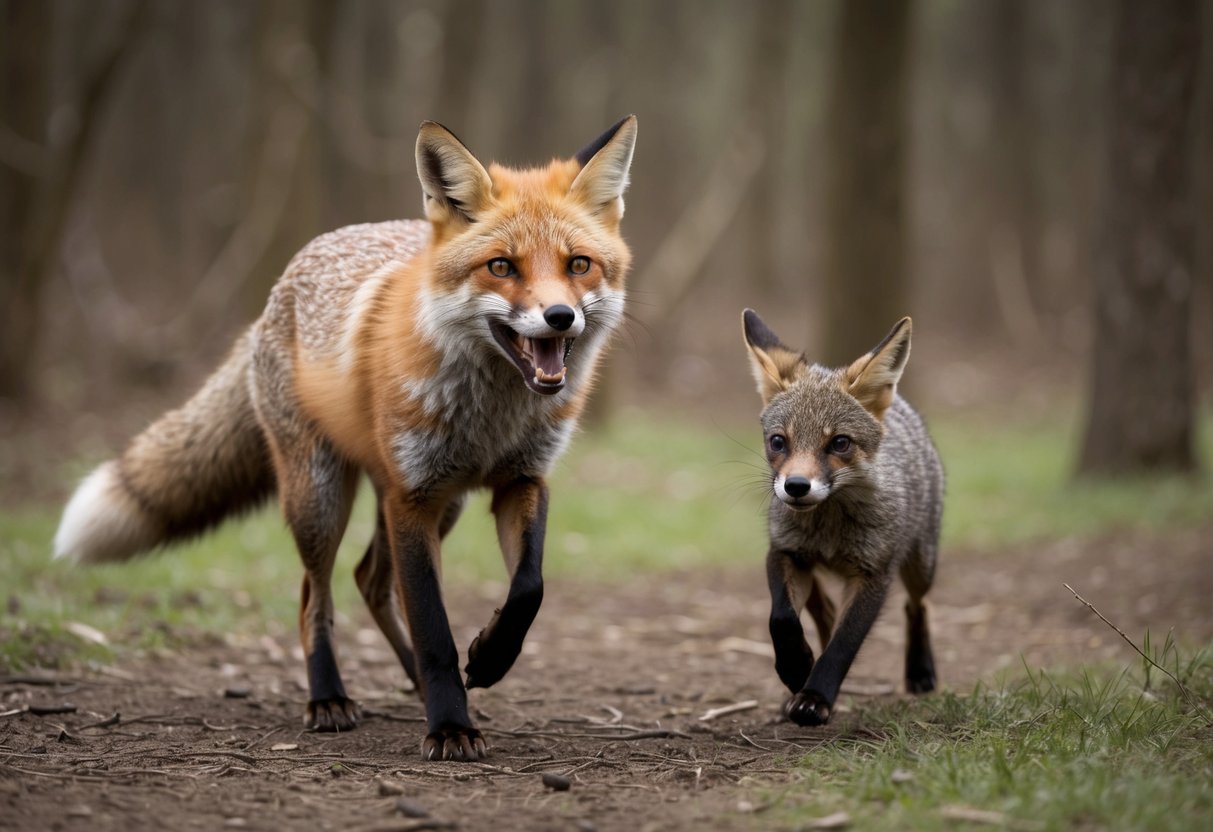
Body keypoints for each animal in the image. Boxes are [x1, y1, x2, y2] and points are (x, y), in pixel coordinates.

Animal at [53, 116, 638, 761]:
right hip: (322, 497)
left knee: (370, 580)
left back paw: (418, 684)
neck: (492, 417)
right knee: (317, 596)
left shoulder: (519, 479)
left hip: (441, 504)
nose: (560, 317)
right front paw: (449, 727)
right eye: (502, 267)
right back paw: (329, 697)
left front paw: (487, 659)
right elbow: (434, 628)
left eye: (578, 265)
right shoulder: (412, 497)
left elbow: (527, 590)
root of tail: (276, 291)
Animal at [741, 309, 942, 726]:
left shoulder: (874, 573)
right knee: (825, 610)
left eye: (839, 443)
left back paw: (920, 670)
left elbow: (844, 644)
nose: (796, 487)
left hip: (921, 566)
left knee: (918, 606)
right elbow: (781, 619)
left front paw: (815, 696)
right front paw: (796, 668)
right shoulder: (784, 552)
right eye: (778, 441)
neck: (829, 530)